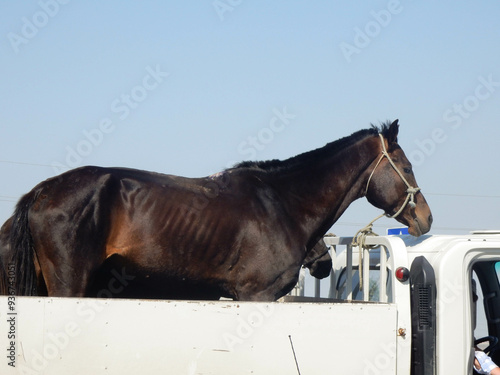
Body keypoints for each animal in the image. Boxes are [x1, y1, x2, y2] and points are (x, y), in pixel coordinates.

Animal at [3, 120, 432, 302]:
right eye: (407, 166)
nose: (425, 217)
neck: (281, 202)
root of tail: (40, 192)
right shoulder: (256, 295)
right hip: (67, 286)